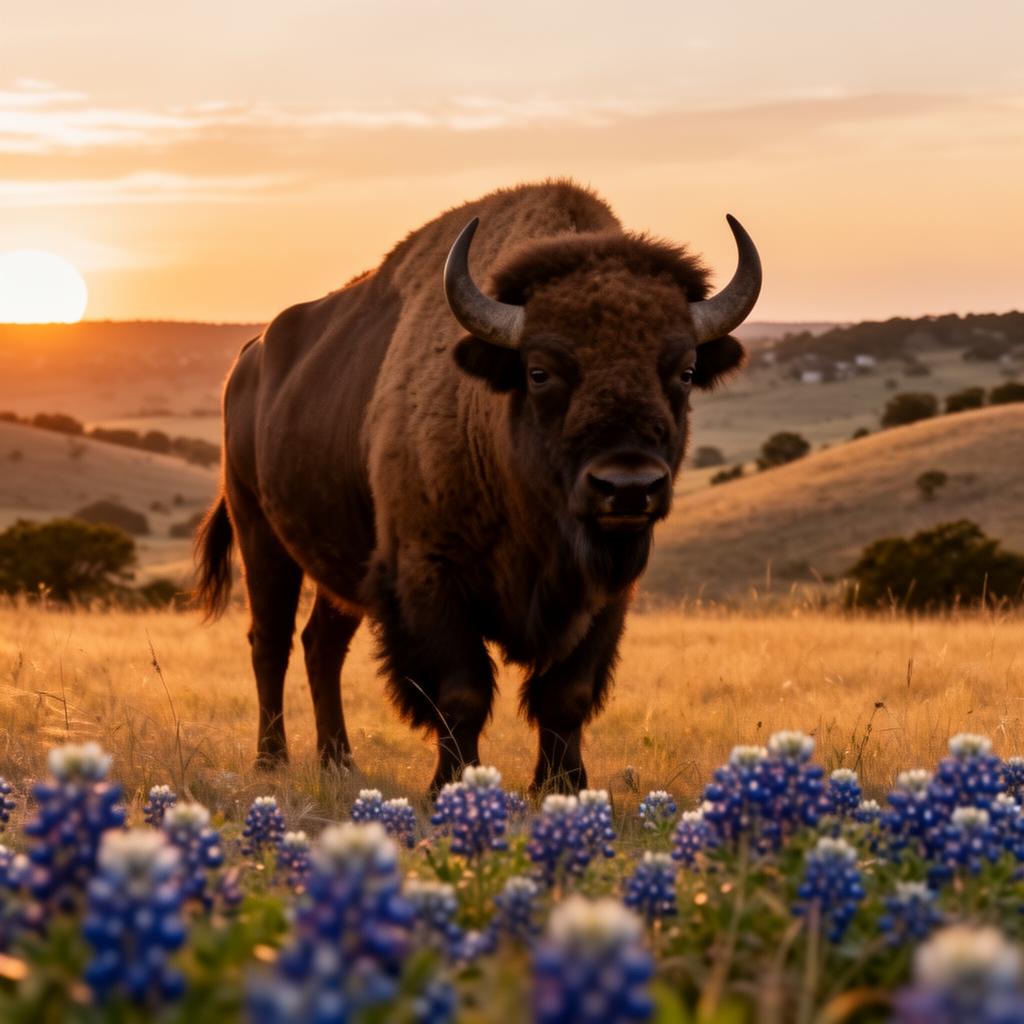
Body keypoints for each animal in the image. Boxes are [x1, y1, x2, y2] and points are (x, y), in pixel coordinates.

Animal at [196, 181, 761, 793]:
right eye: (539, 371)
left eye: (684, 372)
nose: (628, 485)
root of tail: (247, 359)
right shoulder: (430, 577)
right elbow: (460, 694)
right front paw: (452, 784)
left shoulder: (604, 598)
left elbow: (566, 695)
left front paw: (563, 786)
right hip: (259, 532)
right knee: (270, 642)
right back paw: (271, 760)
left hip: (339, 566)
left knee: (321, 644)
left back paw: (338, 762)